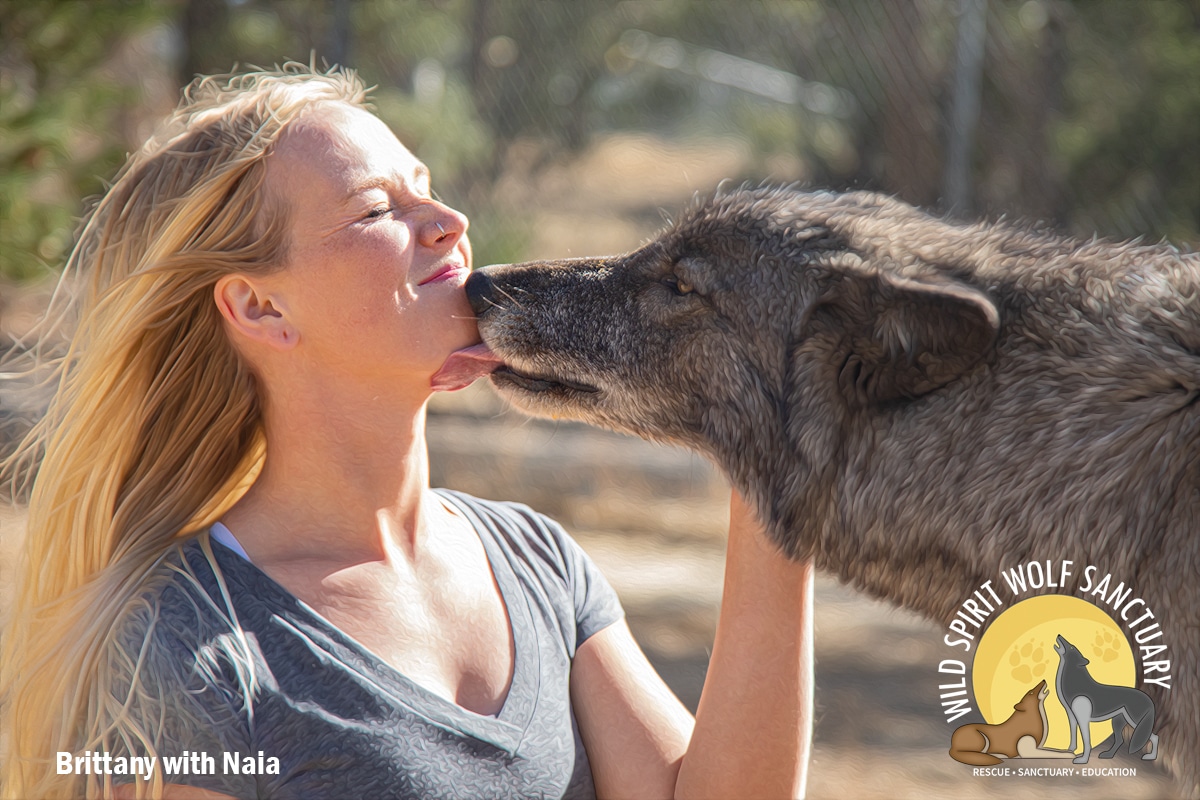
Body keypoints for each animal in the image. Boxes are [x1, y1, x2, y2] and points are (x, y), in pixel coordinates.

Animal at [1056, 633, 1156, 767]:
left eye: (1072, 647)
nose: (1059, 634)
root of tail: (1149, 699)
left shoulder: (1083, 720)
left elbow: (1087, 741)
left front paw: (1083, 760)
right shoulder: (1071, 716)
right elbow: (1073, 736)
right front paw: (1070, 751)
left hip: (1134, 721)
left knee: (1154, 737)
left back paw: (1150, 757)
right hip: (1118, 722)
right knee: (1120, 740)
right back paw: (1108, 755)